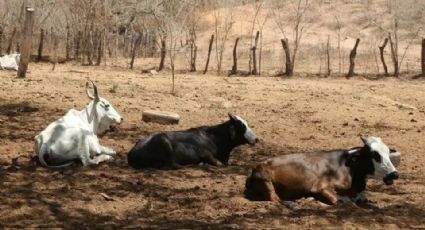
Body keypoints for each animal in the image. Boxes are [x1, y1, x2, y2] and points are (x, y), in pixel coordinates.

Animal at [126, 114, 258, 170]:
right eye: (242, 126)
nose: (257, 139)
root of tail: (131, 153)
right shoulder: (206, 154)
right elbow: (217, 162)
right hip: (164, 141)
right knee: (173, 165)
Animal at [243, 136, 400, 208]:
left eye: (388, 153)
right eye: (374, 155)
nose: (394, 174)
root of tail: (255, 168)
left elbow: (362, 198)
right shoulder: (322, 188)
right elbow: (341, 201)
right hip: (266, 181)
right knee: (275, 199)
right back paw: (294, 204)